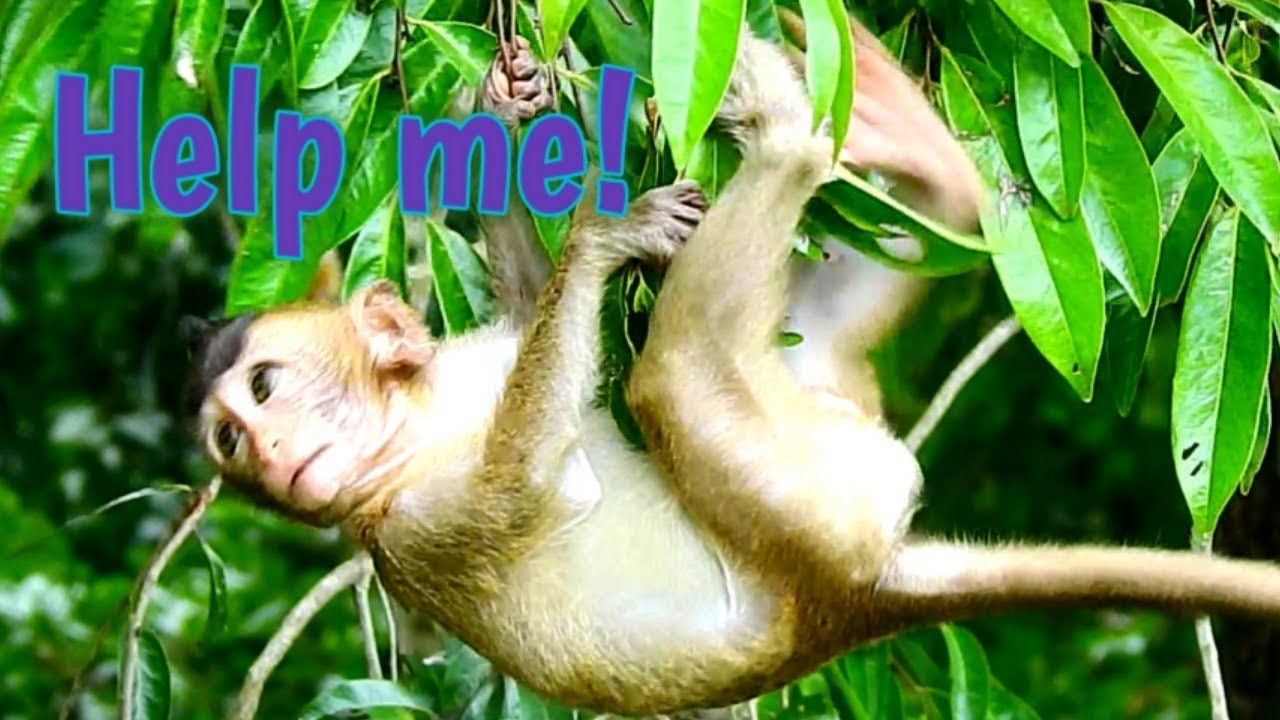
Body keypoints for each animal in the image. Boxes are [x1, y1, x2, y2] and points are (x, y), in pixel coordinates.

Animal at [184, 30, 1280, 717]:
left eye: (263, 393)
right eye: (232, 440)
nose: (271, 457)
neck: (416, 425)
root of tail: (863, 598)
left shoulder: (481, 359)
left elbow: (535, 317)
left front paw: (501, 107)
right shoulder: (406, 535)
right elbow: (526, 482)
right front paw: (598, 238)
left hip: (817, 420)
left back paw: (922, 159)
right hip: (808, 507)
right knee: (666, 376)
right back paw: (795, 139)